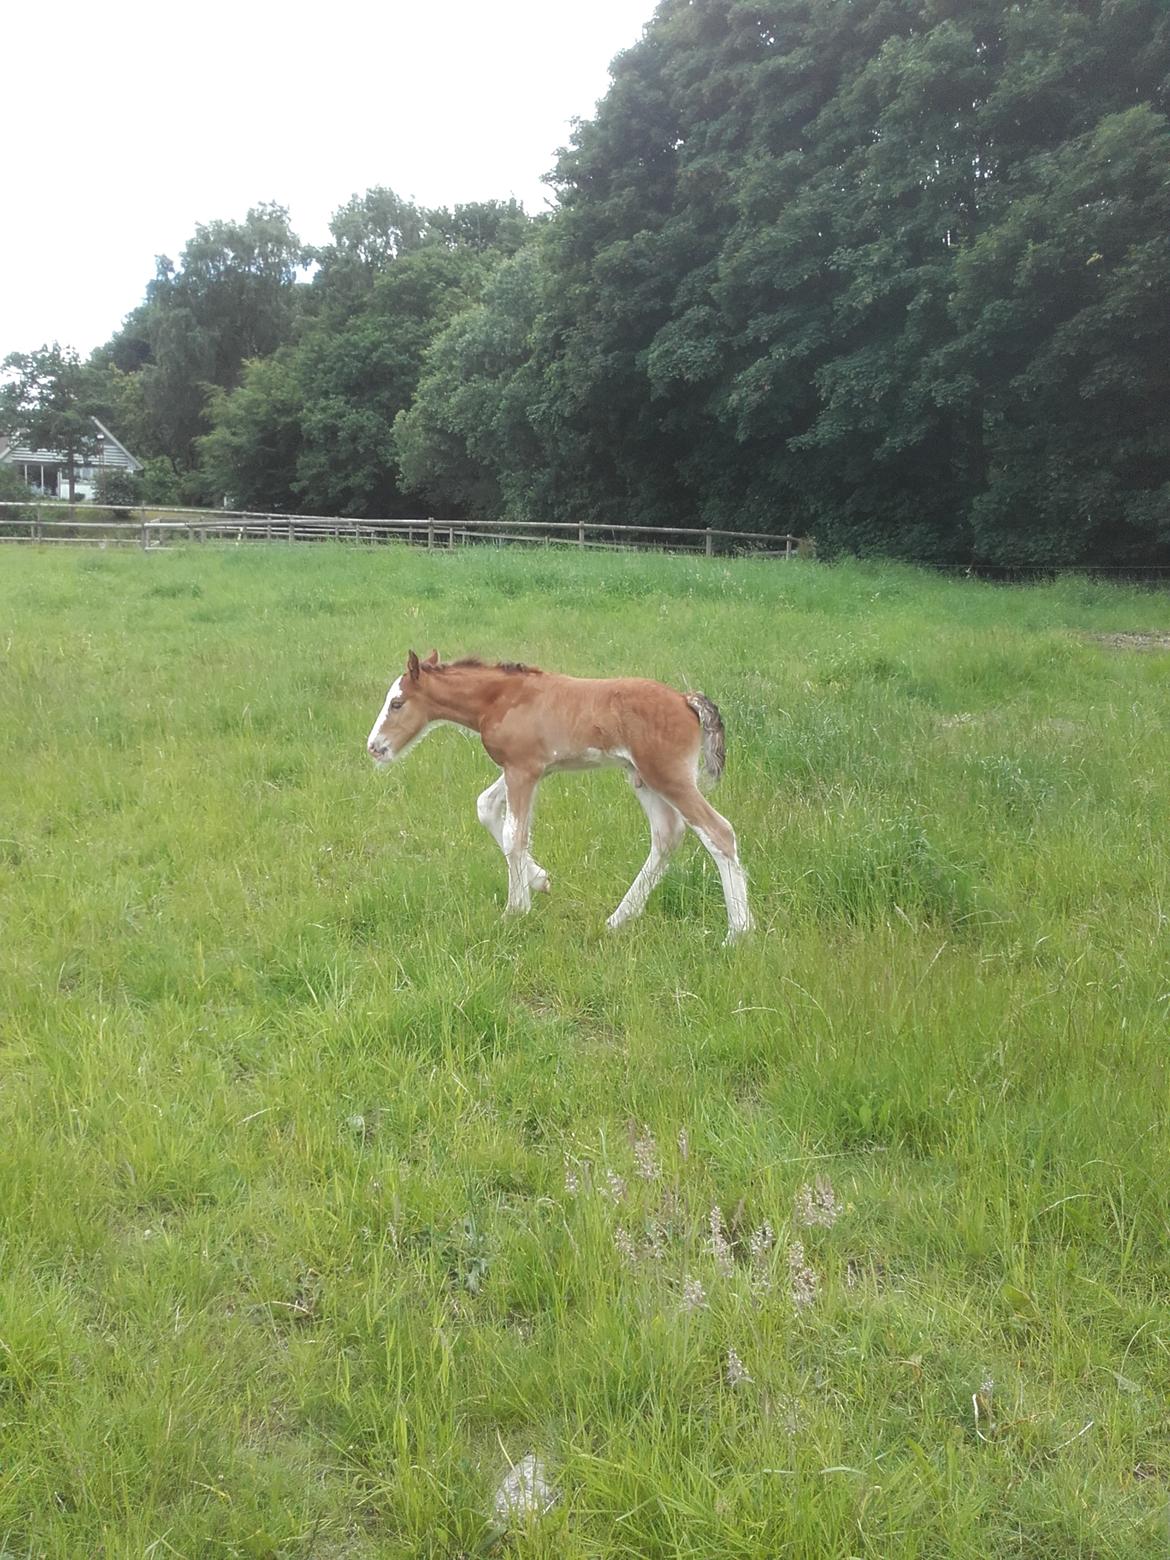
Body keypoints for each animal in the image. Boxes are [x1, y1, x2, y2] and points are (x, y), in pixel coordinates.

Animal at [365, 648, 751, 935]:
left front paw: (515, 910)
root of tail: (687, 700)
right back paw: (618, 919)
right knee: (667, 835)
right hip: (643, 778)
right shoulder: (530, 768)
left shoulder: (522, 770)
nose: (374, 747)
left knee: (719, 832)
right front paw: (540, 880)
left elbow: (514, 835)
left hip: (669, 776)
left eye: (397, 703)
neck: (501, 699)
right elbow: (486, 806)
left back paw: (738, 933)